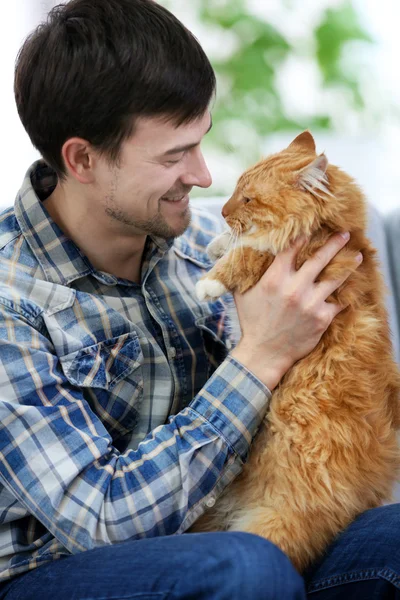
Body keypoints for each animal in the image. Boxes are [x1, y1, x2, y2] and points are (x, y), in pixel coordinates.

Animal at [191, 130, 400, 572]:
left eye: (247, 198)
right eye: (233, 192)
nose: (222, 210)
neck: (331, 229)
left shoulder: (308, 259)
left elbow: (250, 253)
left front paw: (210, 281)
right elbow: (242, 244)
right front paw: (216, 243)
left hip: (276, 523)